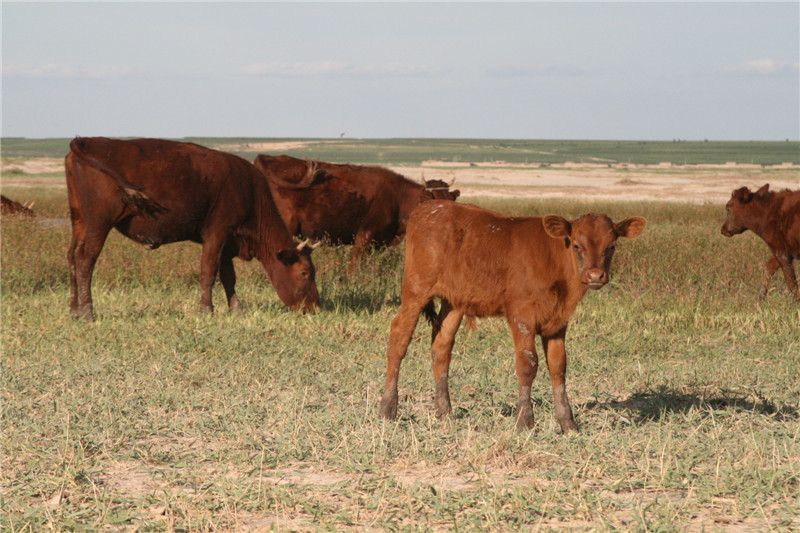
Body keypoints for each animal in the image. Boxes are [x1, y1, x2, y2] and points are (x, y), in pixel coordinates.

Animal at [378, 201, 648, 432]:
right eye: (577, 245)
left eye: (611, 246)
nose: (595, 275)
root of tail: (429, 207)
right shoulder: (522, 315)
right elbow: (528, 364)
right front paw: (525, 421)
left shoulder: (558, 322)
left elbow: (559, 366)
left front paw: (567, 422)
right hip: (416, 289)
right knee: (399, 336)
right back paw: (388, 408)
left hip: (454, 300)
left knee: (442, 346)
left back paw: (444, 411)